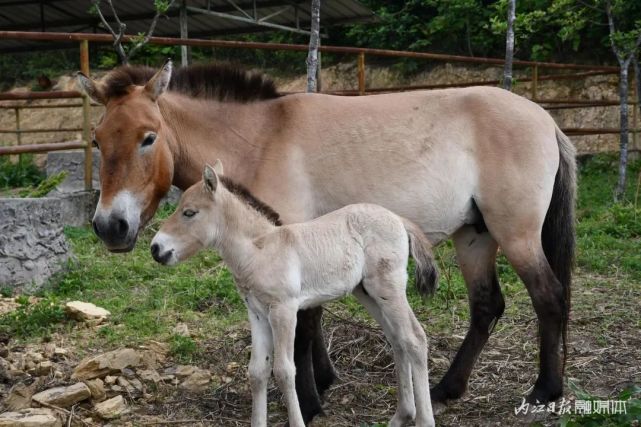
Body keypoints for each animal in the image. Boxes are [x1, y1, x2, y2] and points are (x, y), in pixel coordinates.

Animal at [152, 162, 438, 426]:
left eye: (189, 212)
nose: (156, 249)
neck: (260, 250)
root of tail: (398, 219)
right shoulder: (256, 312)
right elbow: (257, 371)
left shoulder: (284, 310)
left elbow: (284, 370)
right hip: (367, 293)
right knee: (397, 339)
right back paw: (402, 415)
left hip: (388, 288)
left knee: (414, 338)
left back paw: (423, 419)